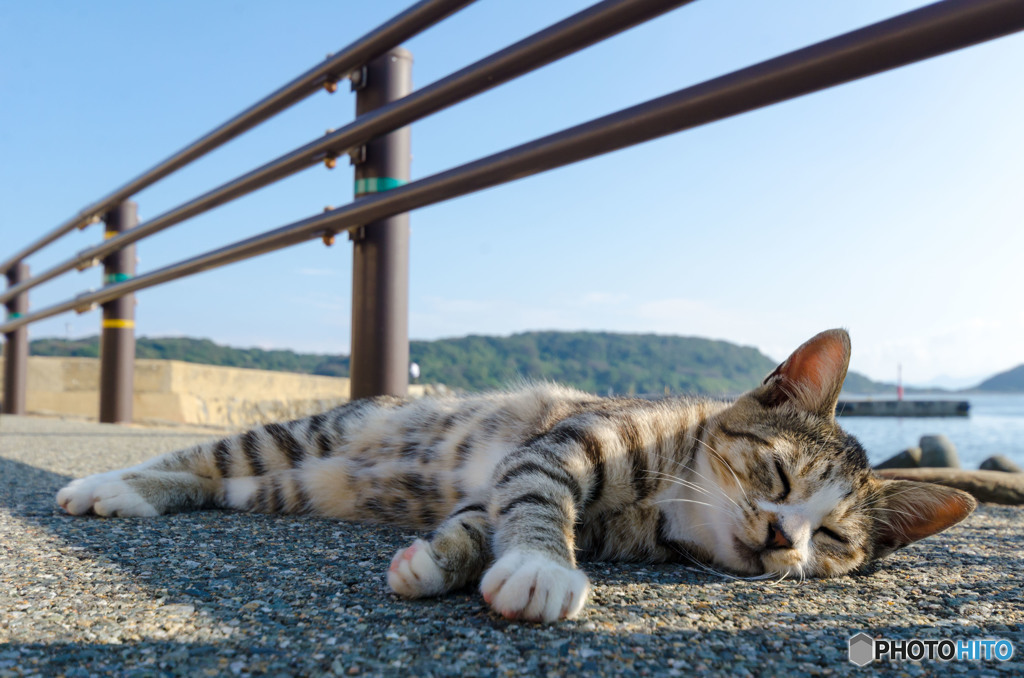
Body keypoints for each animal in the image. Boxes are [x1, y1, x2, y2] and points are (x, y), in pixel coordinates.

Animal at [56, 331, 974, 622]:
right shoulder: (559, 446)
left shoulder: (493, 488)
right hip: (313, 429)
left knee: (234, 484)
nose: (785, 537)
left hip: (292, 483)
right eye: (779, 474)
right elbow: (535, 502)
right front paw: (539, 567)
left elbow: (475, 523)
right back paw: (112, 485)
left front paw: (436, 563)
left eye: (836, 537)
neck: (661, 510)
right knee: (209, 456)